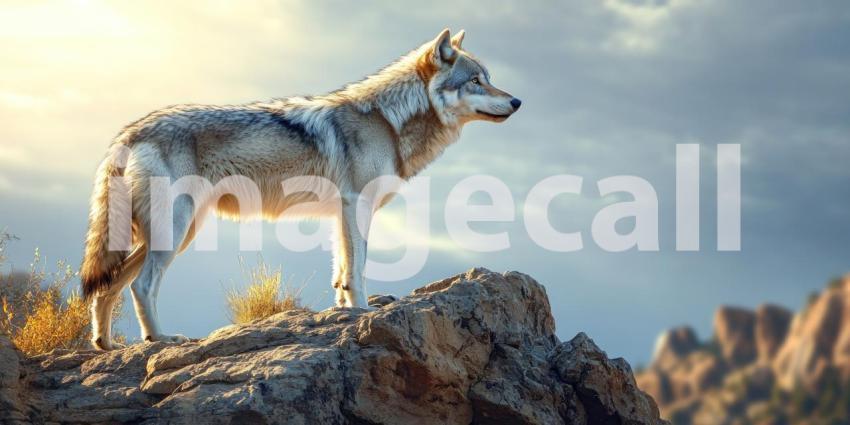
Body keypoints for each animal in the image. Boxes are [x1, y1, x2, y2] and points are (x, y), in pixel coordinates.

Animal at [80, 29, 521, 350]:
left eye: (490, 79)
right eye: (476, 81)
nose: (517, 101)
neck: (387, 120)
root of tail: (130, 132)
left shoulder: (341, 213)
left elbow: (341, 270)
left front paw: (343, 310)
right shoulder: (356, 205)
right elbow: (357, 270)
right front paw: (362, 312)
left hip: (171, 232)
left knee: (109, 286)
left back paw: (106, 345)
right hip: (175, 230)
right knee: (140, 284)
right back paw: (159, 339)